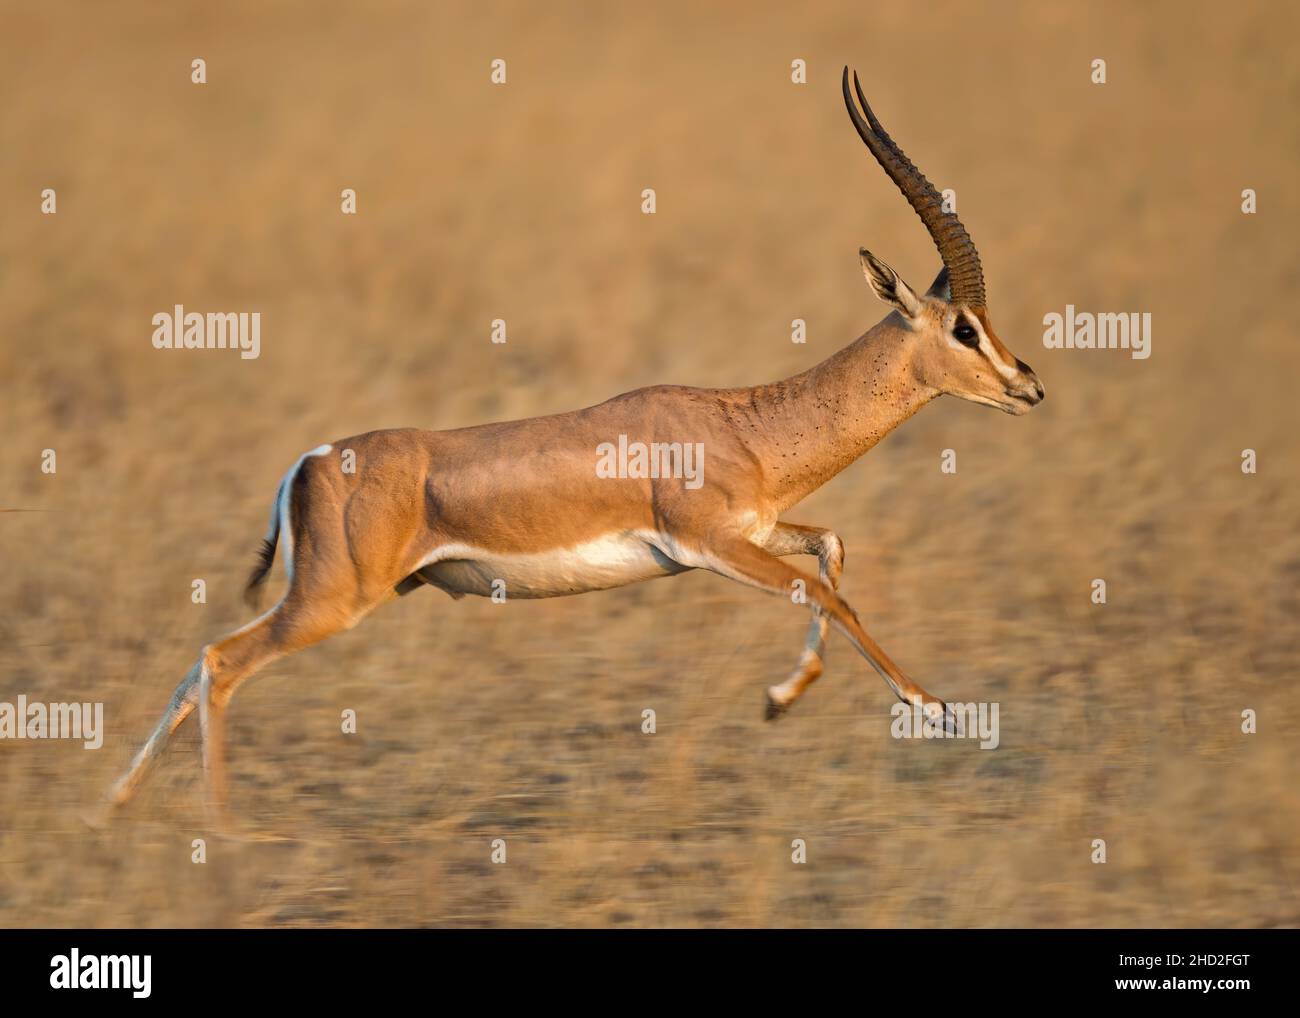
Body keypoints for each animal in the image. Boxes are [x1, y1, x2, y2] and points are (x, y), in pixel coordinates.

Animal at [106, 67, 1040, 821]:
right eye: (963, 327)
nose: (1029, 386)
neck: (745, 423)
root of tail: (306, 461)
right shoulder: (711, 546)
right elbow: (827, 595)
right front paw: (935, 708)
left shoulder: (758, 532)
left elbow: (831, 556)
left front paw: (779, 701)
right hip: (334, 601)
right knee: (221, 662)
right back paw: (223, 833)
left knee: (199, 665)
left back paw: (110, 807)